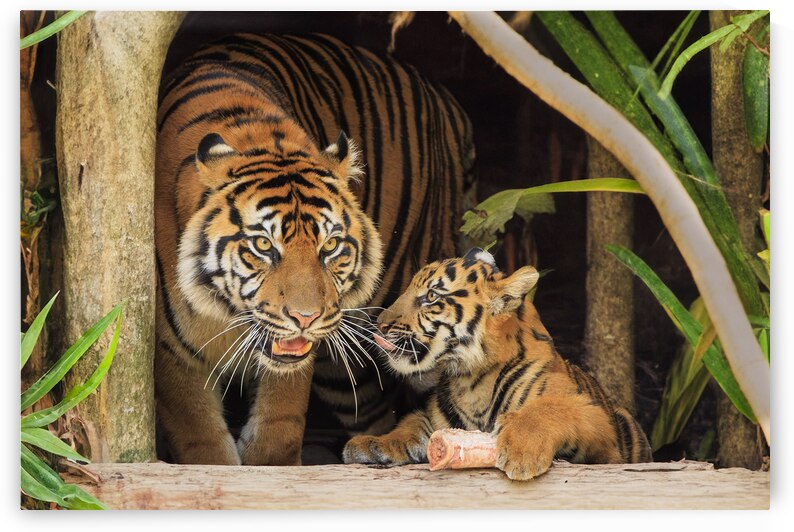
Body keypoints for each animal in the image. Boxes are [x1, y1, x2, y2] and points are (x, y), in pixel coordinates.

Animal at [154, 33, 475, 465]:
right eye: (263, 245)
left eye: (331, 245)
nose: (305, 318)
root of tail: (442, 96)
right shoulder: (172, 356)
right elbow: (203, 445)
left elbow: (278, 431)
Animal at [342, 247, 652, 480]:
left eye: (431, 296)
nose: (379, 325)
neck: (471, 381)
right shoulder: (436, 417)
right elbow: (412, 424)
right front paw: (373, 444)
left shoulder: (596, 420)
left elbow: (551, 409)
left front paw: (521, 451)